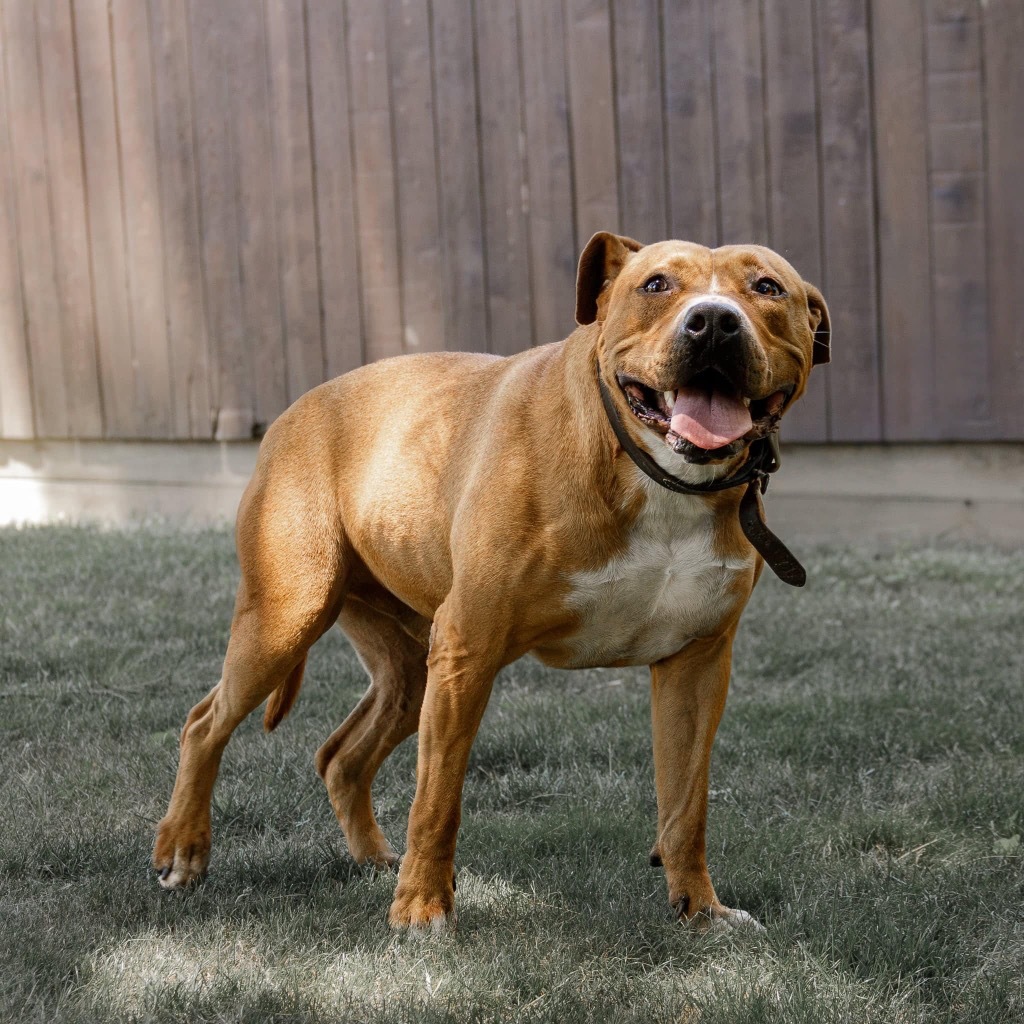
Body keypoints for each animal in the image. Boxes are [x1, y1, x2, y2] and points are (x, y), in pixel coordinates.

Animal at [151, 234, 827, 937]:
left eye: (767, 288)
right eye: (658, 284)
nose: (715, 321)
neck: (650, 472)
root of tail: (294, 410)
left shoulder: (696, 665)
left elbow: (685, 806)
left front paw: (699, 909)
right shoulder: (468, 649)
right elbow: (438, 799)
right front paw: (422, 910)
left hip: (408, 673)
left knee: (340, 756)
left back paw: (372, 859)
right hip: (286, 620)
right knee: (204, 723)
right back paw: (184, 851)